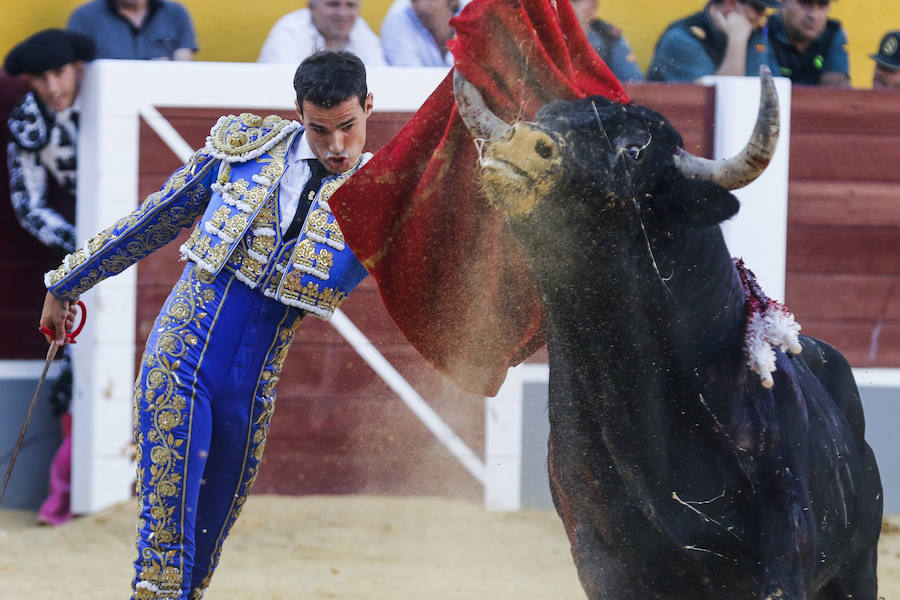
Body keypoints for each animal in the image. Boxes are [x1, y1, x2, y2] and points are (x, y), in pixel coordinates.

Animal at [454, 71, 884, 600]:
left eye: (635, 149)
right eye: (547, 114)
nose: (519, 143)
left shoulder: (786, 554)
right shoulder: (600, 560)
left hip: (857, 569)